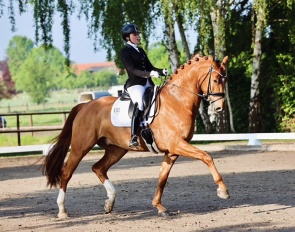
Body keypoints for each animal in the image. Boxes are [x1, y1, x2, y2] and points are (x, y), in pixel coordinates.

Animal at [42, 54, 231, 218]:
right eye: (215, 80)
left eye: (225, 80)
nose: (219, 108)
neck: (176, 101)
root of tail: (85, 105)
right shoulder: (177, 144)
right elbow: (206, 156)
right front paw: (223, 190)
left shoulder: (172, 150)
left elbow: (163, 177)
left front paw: (159, 207)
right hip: (81, 146)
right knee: (67, 172)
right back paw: (62, 210)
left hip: (116, 149)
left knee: (98, 168)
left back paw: (109, 202)